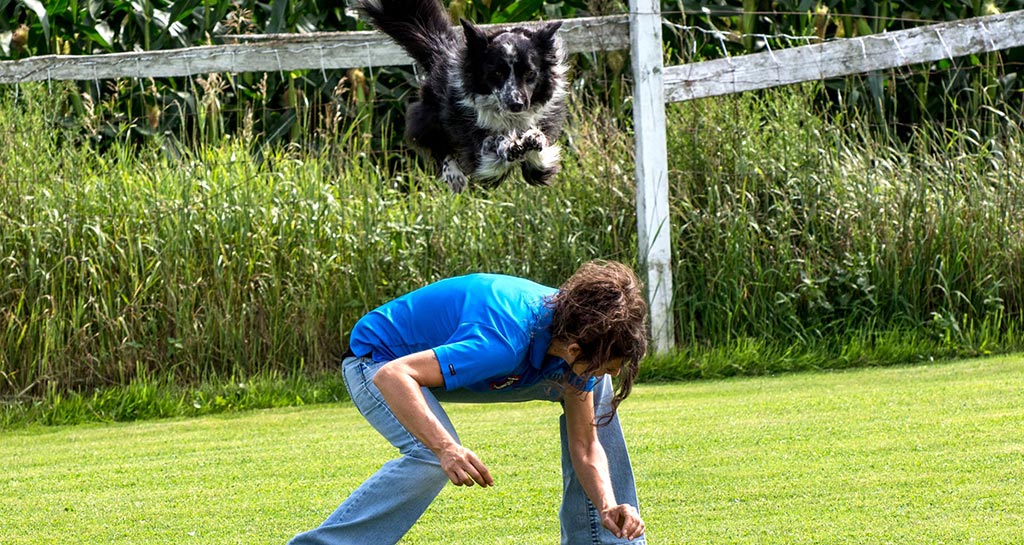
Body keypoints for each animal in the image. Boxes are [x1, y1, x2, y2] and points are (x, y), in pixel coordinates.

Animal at [356, 0, 569, 191]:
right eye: (497, 73)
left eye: (530, 73)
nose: (516, 104)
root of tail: (441, 51)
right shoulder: (476, 150)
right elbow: (490, 144)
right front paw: (508, 144)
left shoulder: (541, 147)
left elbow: (539, 152)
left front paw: (533, 138)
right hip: (428, 117)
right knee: (438, 146)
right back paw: (454, 177)